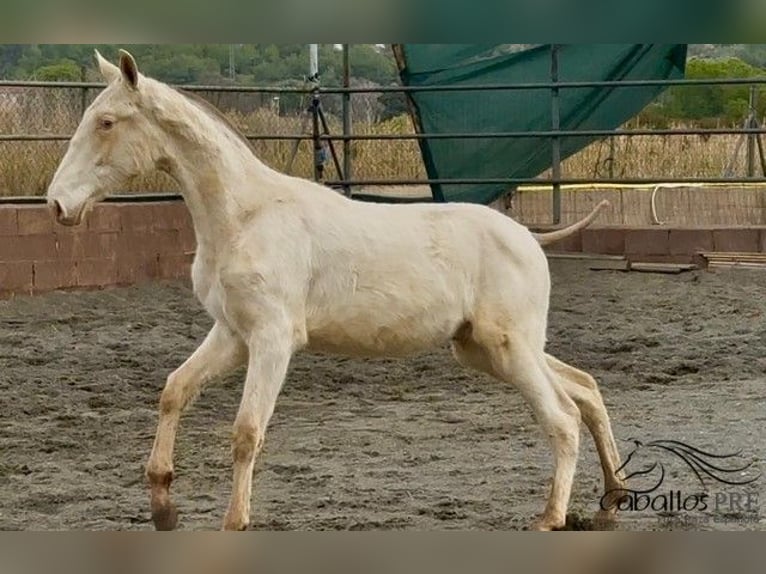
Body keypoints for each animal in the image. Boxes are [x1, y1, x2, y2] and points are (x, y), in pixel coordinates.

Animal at [46, 49, 624, 531]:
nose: (57, 204)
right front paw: (163, 506)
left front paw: (234, 522)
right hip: (483, 349)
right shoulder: (232, 333)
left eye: (106, 122)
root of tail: (530, 237)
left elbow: (246, 432)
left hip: (509, 348)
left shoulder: (273, 339)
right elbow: (174, 390)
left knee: (562, 417)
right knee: (585, 388)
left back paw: (550, 517)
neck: (245, 216)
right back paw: (611, 498)